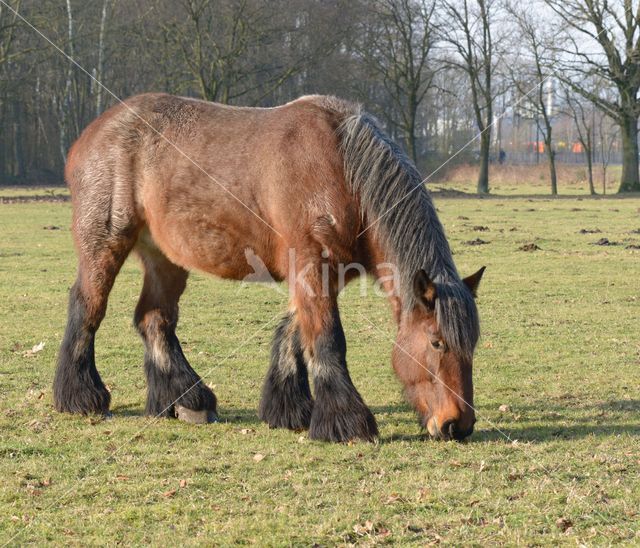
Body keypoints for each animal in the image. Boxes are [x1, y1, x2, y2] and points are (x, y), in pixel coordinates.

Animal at [53, 94, 484, 444]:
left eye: (473, 345)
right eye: (437, 343)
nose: (457, 425)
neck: (342, 170)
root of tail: (92, 134)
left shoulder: (323, 273)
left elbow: (294, 334)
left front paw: (289, 411)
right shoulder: (312, 266)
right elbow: (327, 339)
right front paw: (346, 423)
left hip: (165, 256)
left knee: (154, 318)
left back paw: (186, 400)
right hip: (106, 242)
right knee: (88, 307)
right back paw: (81, 396)